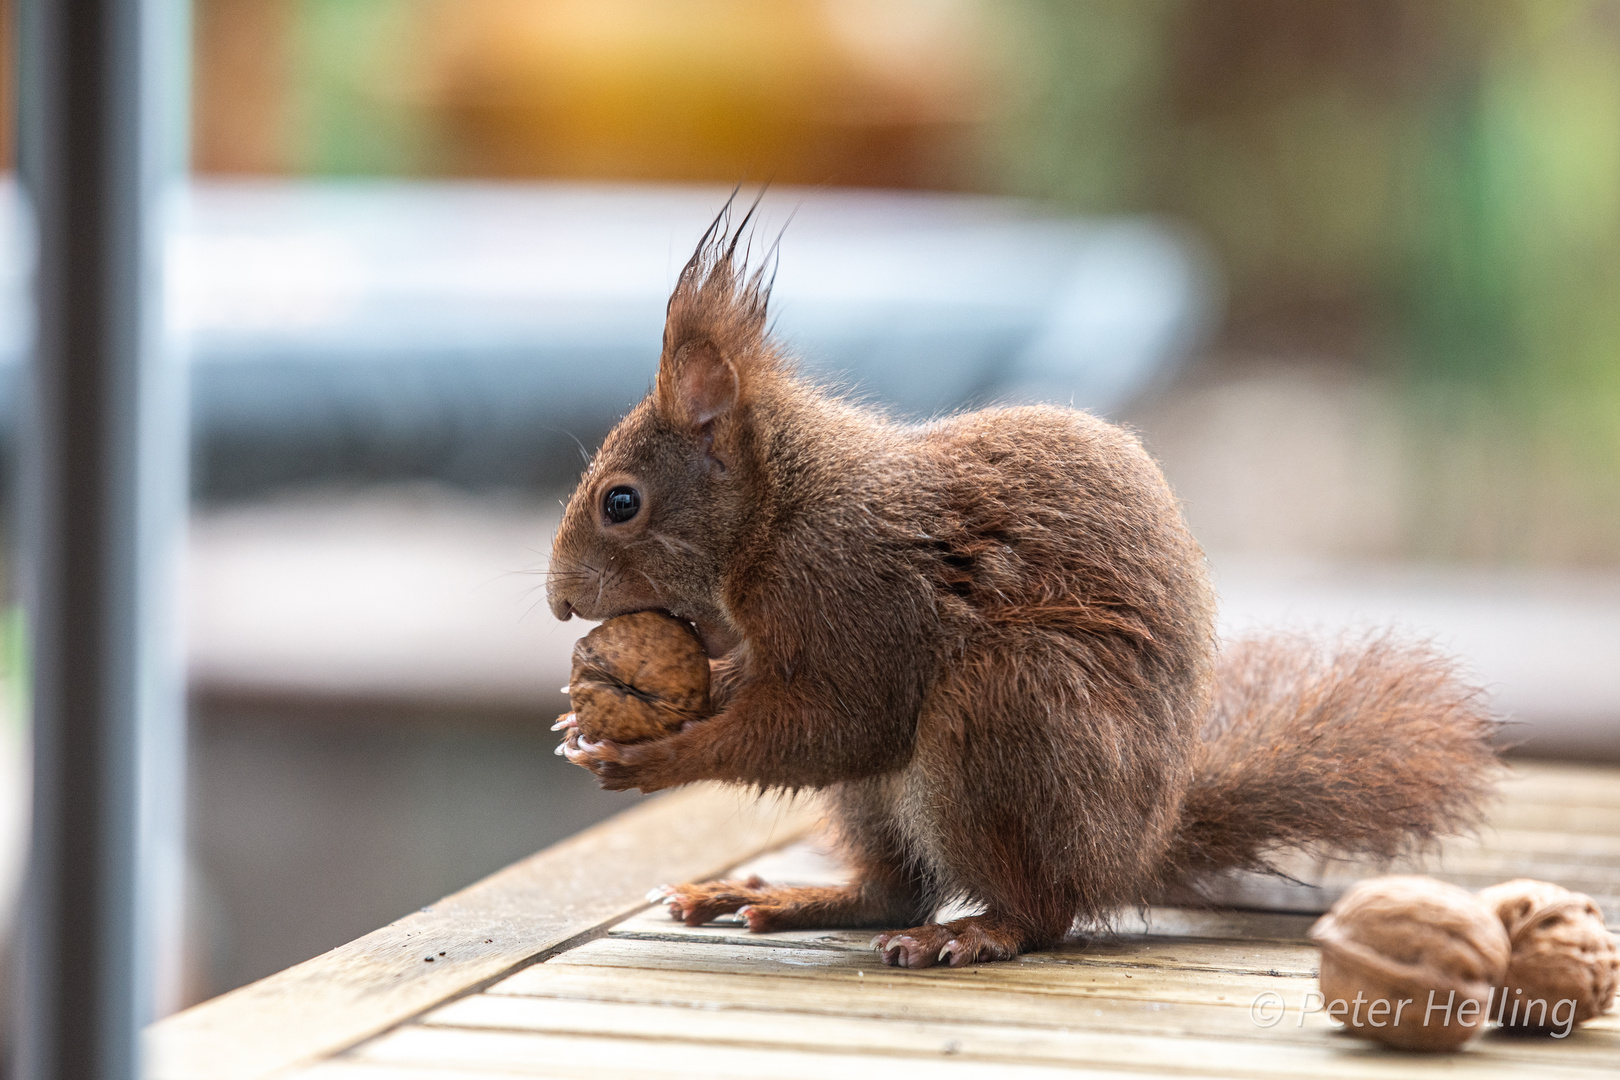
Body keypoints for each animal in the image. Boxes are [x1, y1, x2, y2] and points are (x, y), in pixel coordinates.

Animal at [550, 202, 1496, 971]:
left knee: (1043, 911)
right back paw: (781, 897)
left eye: (620, 502)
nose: (560, 599)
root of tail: (1130, 852)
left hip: (1011, 703)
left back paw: (978, 931)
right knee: (895, 888)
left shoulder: (859, 589)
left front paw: (656, 758)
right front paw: (600, 712)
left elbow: (841, 722)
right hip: (892, 795)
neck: (783, 508)